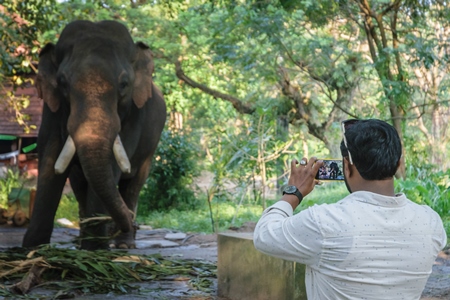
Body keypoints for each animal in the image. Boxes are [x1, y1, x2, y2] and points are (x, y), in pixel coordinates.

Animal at [22, 19, 167, 250]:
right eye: (62, 82)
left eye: (124, 84)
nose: (127, 225)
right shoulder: (52, 109)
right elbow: (49, 155)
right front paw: (32, 248)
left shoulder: (135, 113)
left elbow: (115, 162)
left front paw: (95, 249)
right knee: (80, 184)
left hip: (150, 150)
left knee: (132, 185)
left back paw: (123, 243)